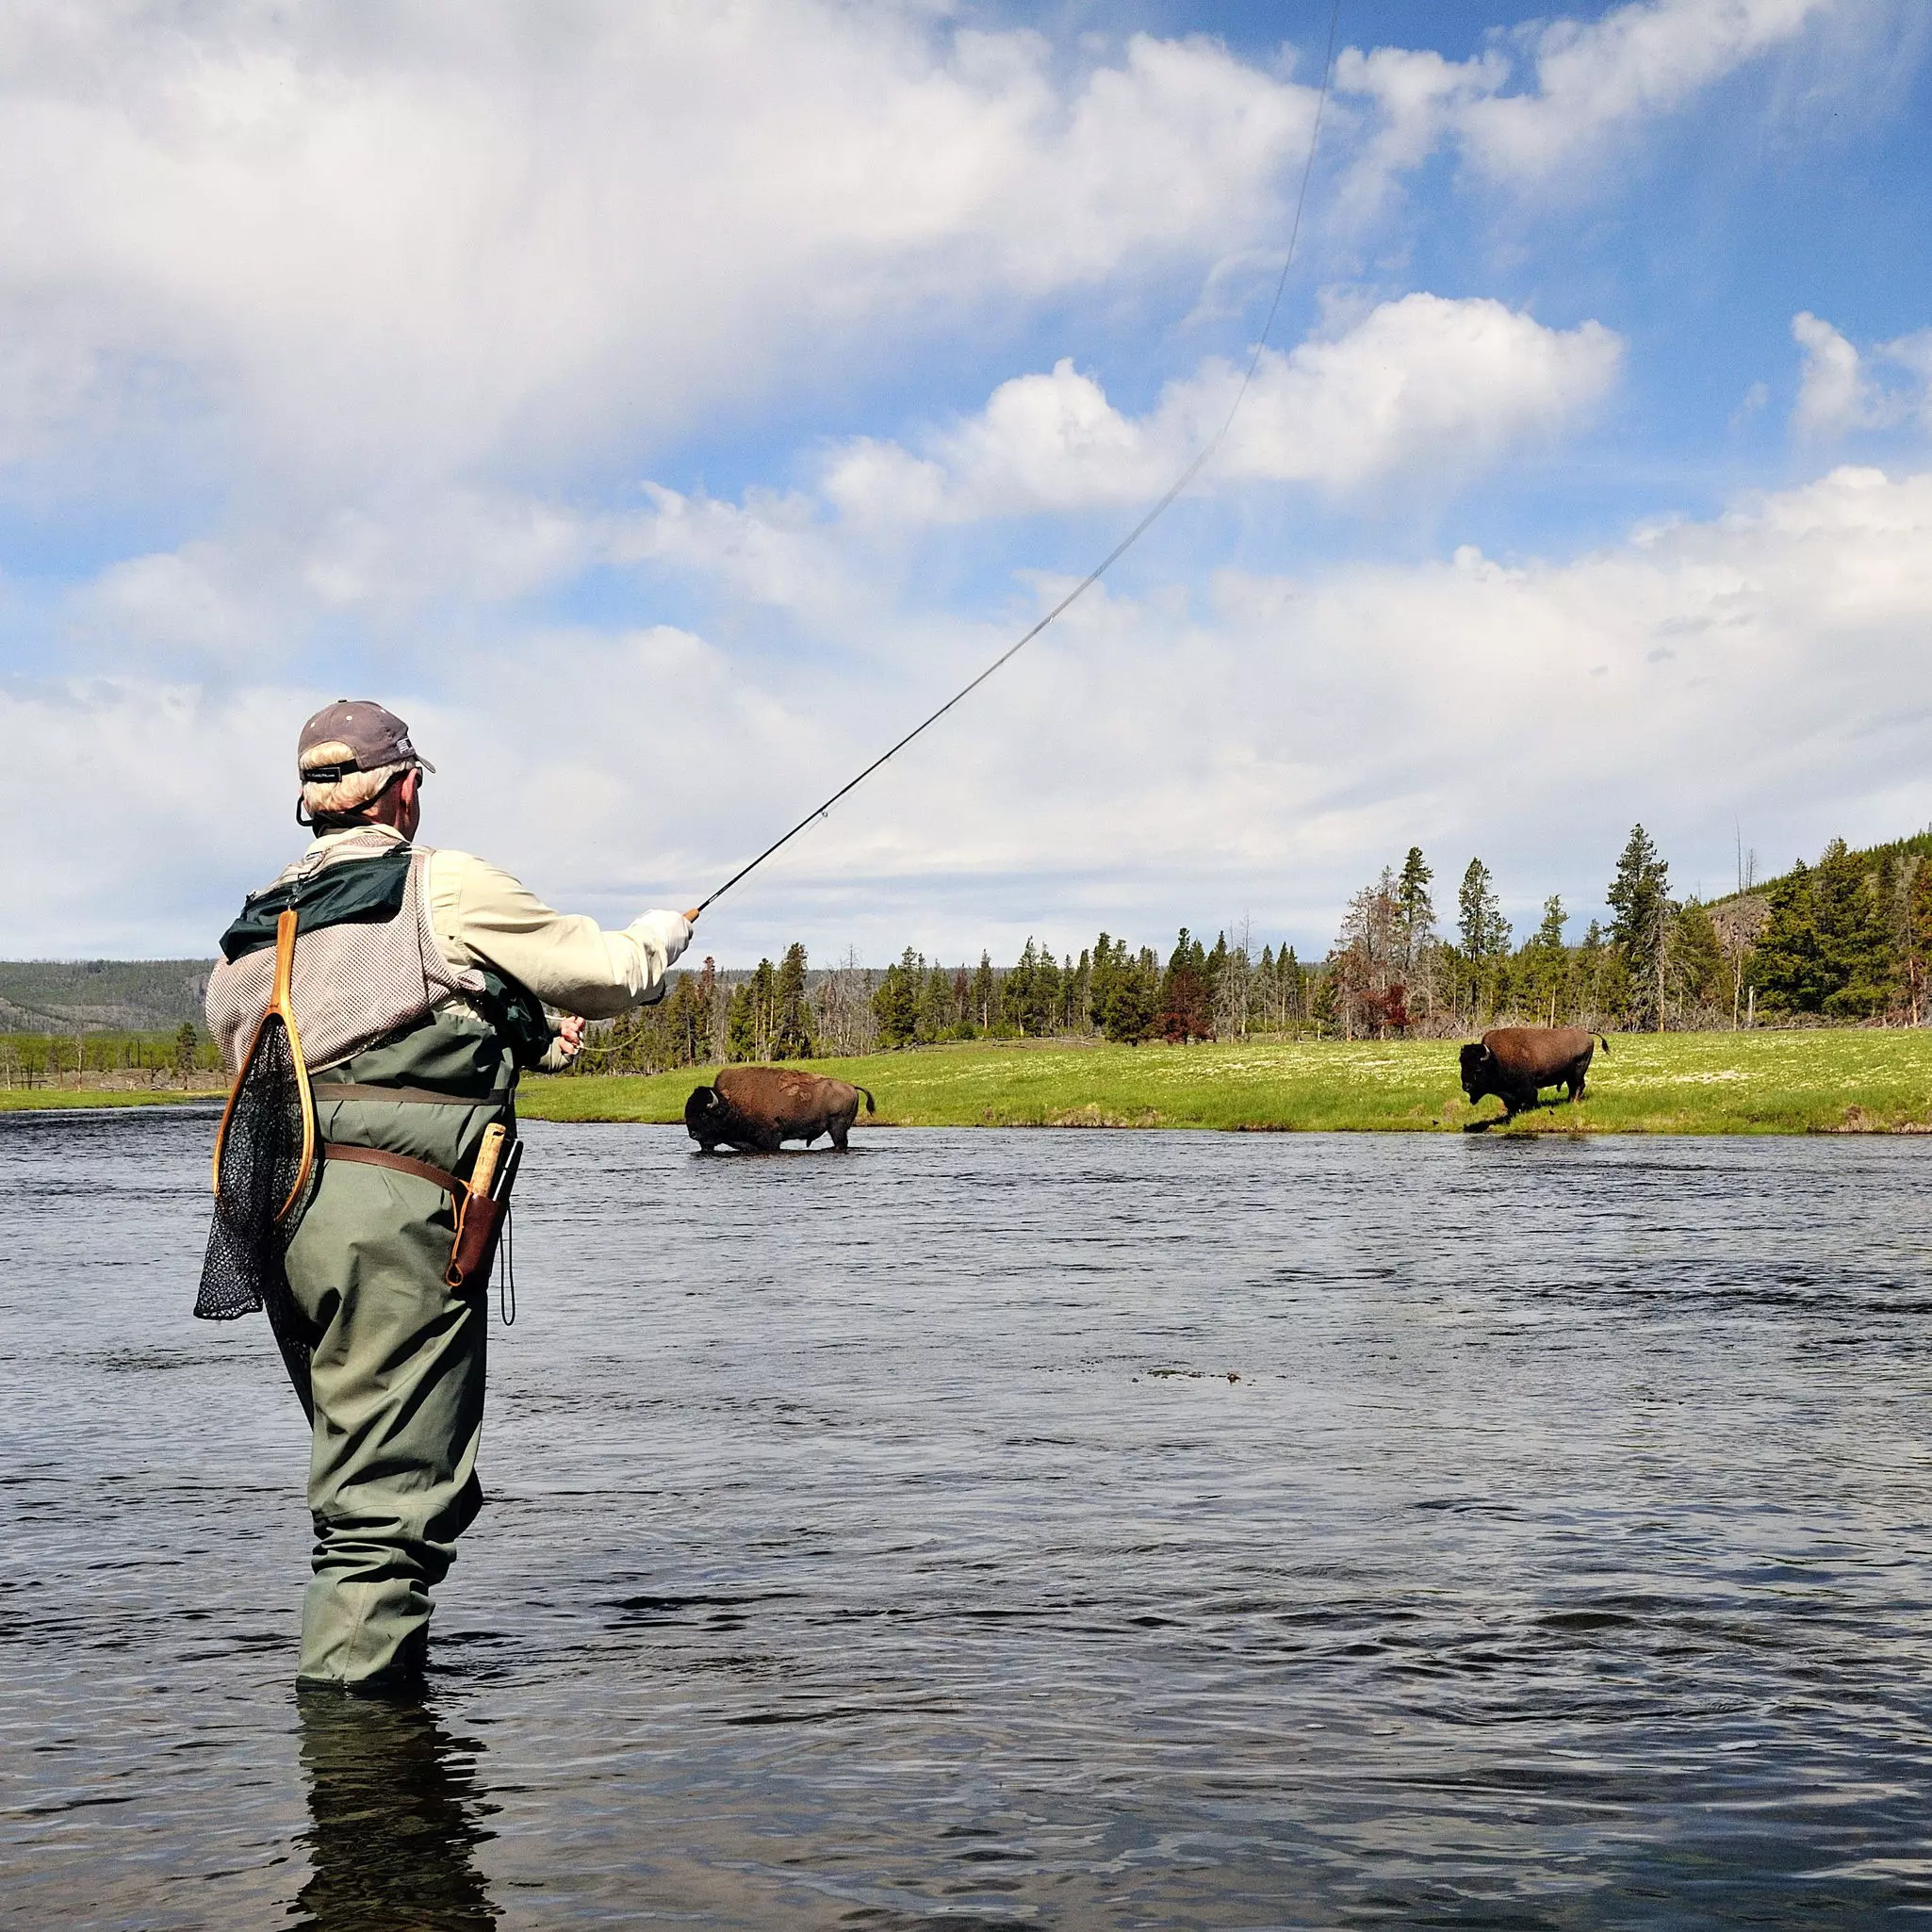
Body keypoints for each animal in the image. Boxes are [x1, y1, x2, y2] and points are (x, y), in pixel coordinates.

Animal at [684, 1064, 877, 1153]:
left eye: (703, 1114)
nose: (692, 1134)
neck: (730, 1104)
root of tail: (851, 1086)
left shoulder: (770, 1138)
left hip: (837, 1127)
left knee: (840, 1143)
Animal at [1459, 1026, 1608, 1124]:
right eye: (1462, 1064)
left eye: (1477, 1067)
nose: (1466, 1086)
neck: (1496, 1059)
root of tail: (1586, 1033)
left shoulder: (1527, 1087)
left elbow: (1528, 1100)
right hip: (1570, 1075)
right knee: (1574, 1087)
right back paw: (1569, 1101)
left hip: (1578, 1072)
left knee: (1579, 1086)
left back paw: (1574, 1102)